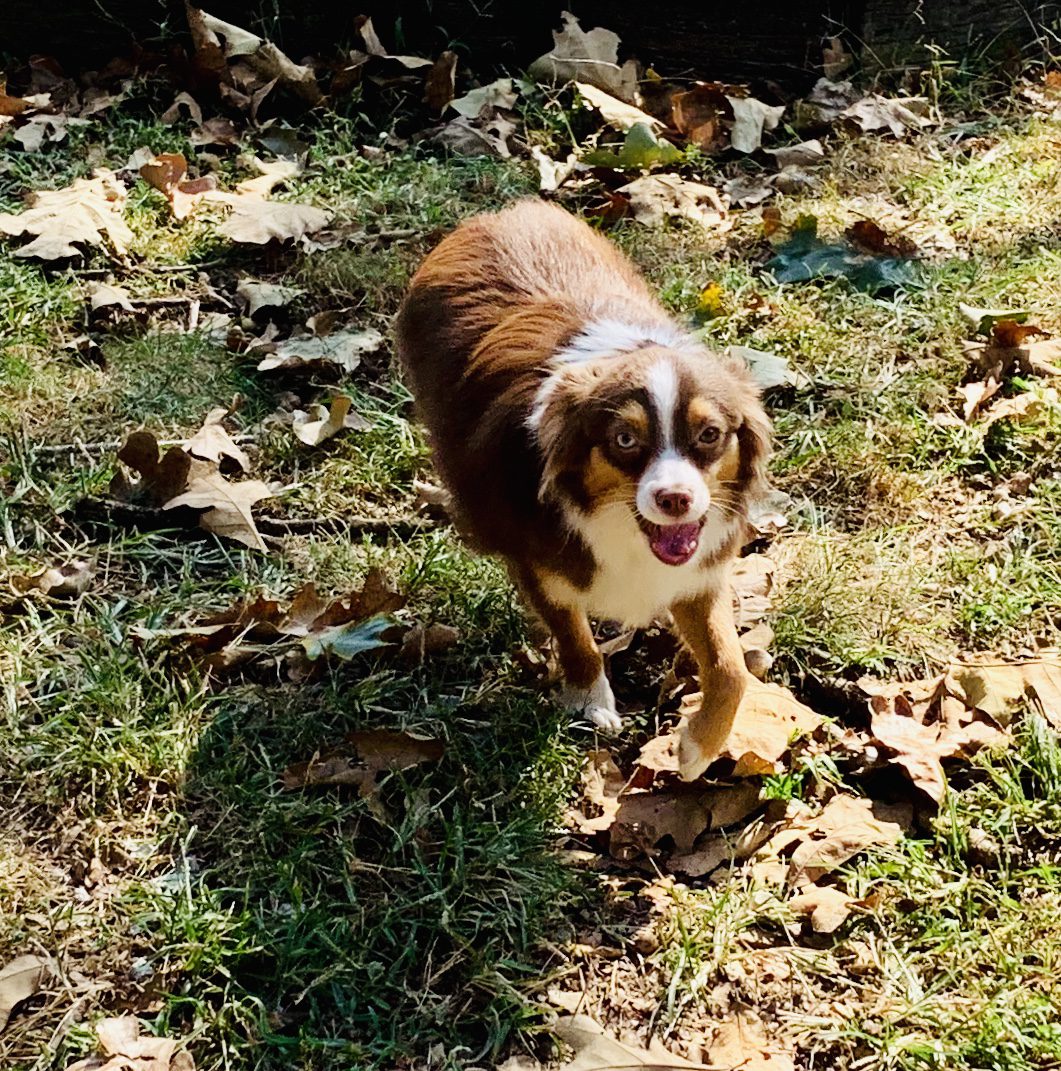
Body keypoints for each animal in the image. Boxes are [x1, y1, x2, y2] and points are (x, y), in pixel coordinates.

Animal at [398, 199, 770, 779]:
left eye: (710, 434)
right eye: (624, 440)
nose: (675, 500)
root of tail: (503, 211)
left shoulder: (697, 574)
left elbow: (731, 668)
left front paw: (695, 750)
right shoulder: (539, 565)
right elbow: (575, 639)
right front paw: (592, 702)